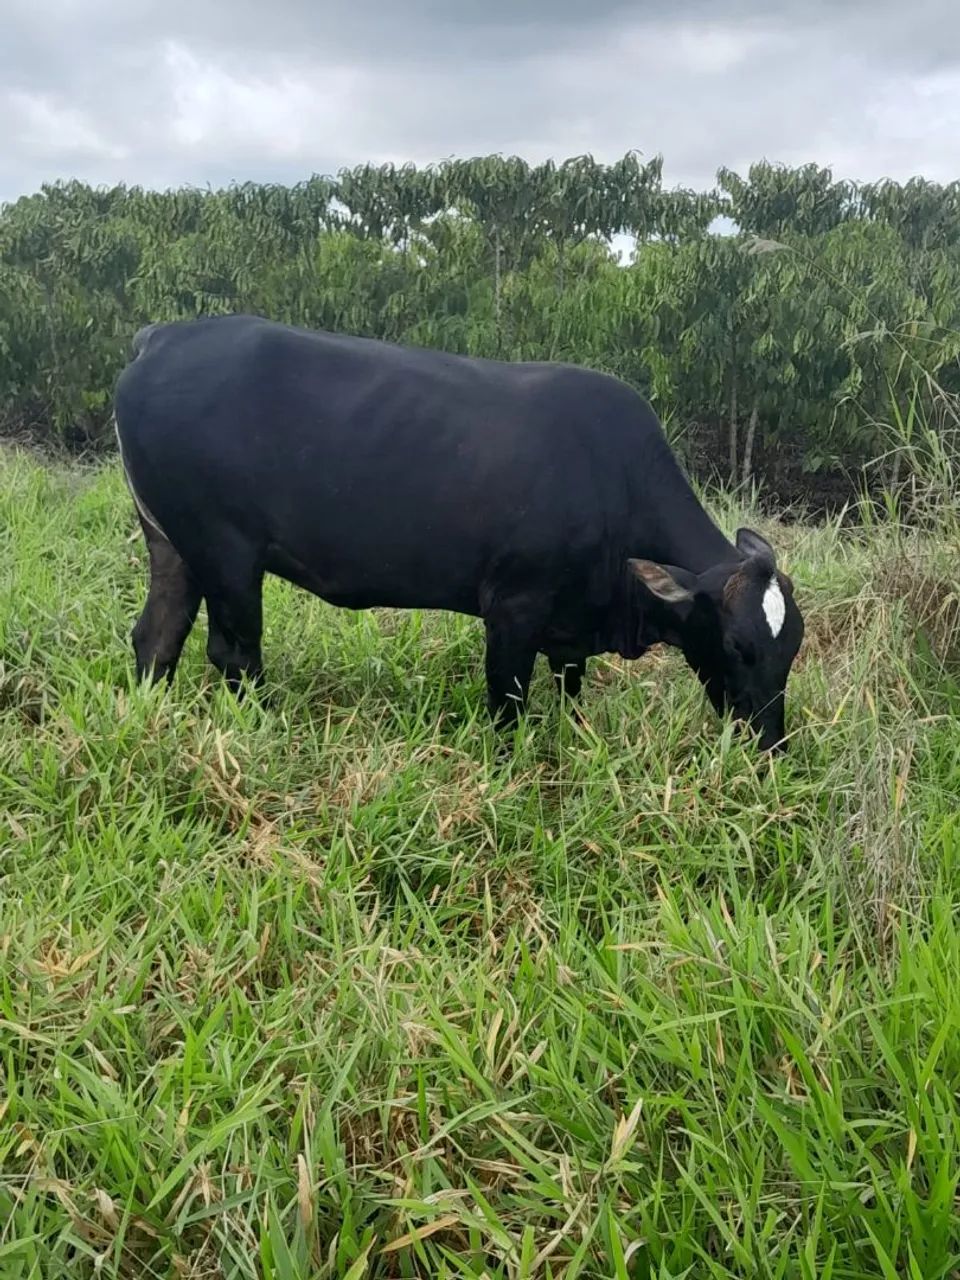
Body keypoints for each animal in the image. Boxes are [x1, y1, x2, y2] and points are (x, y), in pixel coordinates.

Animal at [113, 315, 804, 752]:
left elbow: (572, 691)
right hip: (226, 551)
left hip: (173, 544)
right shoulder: (513, 610)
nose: (771, 746)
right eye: (738, 646)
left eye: (792, 647)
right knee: (233, 652)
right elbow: (508, 705)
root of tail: (161, 337)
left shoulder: (570, 629)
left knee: (156, 636)